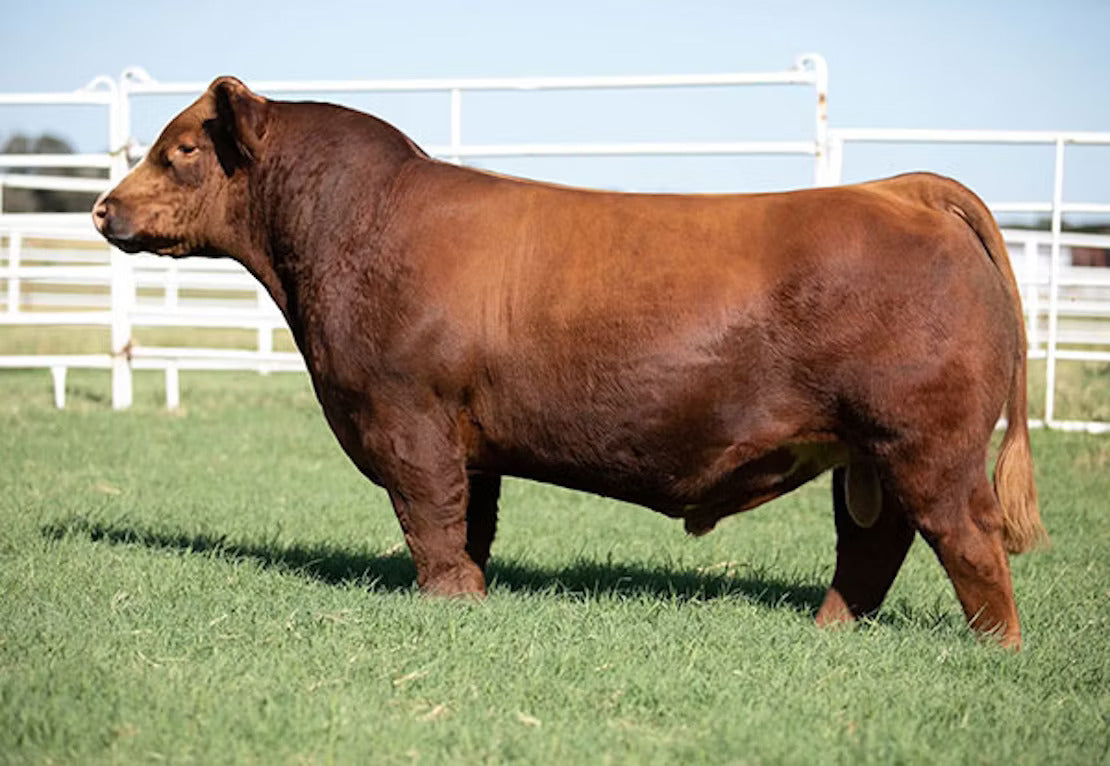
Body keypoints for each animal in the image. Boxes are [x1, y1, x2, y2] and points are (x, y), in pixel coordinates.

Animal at [93, 76, 1045, 648]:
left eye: (182, 149)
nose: (103, 209)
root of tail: (903, 189)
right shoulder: (462, 437)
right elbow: (467, 522)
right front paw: (470, 596)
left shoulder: (405, 414)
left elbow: (427, 515)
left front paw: (448, 604)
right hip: (866, 452)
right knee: (874, 543)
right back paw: (829, 630)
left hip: (926, 440)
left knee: (967, 536)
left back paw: (995, 648)